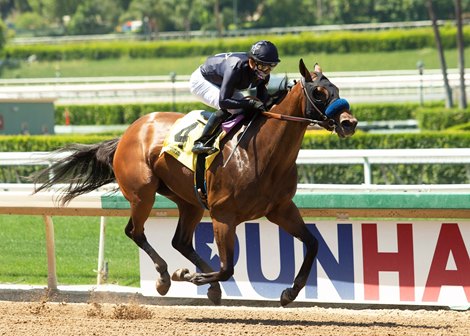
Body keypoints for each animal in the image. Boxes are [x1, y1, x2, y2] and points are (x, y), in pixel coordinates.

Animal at [32, 59, 356, 306]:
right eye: (318, 92)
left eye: (337, 89)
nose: (349, 123)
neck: (261, 153)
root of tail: (128, 133)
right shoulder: (224, 216)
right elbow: (227, 268)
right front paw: (188, 276)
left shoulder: (281, 209)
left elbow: (313, 244)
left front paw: (290, 292)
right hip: (143, 194)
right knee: (135, 231)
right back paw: (165, 277)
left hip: (190, 200)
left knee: (180, 240)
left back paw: (199, 283)